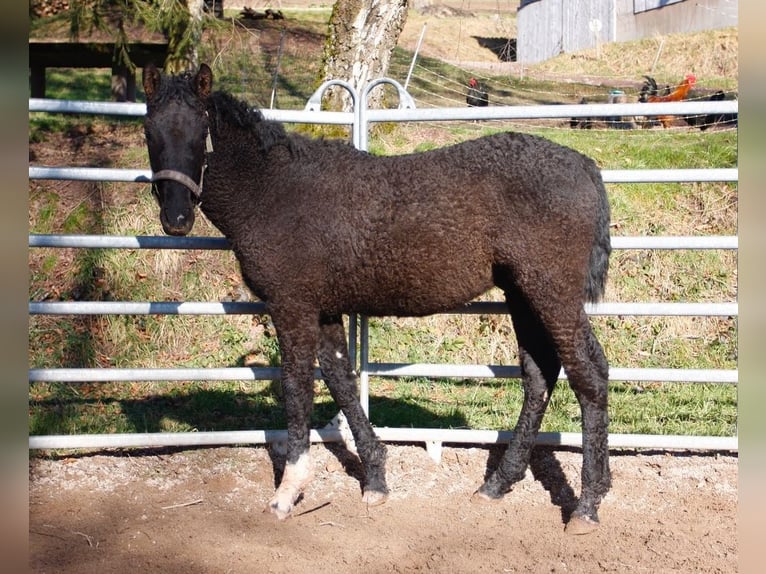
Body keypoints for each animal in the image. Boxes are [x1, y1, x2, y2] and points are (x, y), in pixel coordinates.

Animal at [141, 63, 616, 536]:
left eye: (200, 129)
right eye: (149, 130)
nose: (176, 219)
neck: (272, 190)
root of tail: (586, 166)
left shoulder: (292, 305)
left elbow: (297, 385)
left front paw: (287, 492)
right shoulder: (324, 309)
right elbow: (341, 380)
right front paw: (375, 479)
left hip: (552, 293)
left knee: (588, 375)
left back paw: (587, 506)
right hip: (523, 294)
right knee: (540, 375)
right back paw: (498, 483)